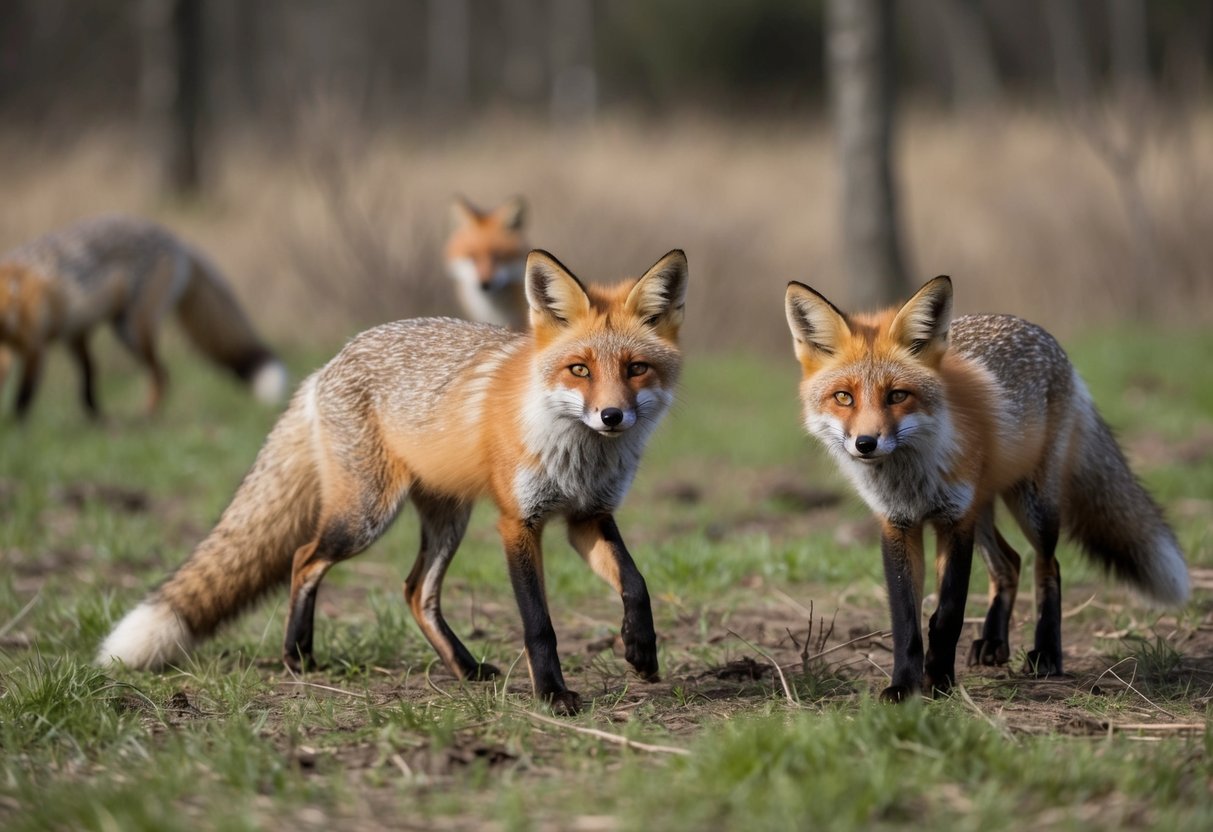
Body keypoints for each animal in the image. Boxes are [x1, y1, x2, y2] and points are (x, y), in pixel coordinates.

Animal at [0, 215, 287, 418]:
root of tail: (176, 239)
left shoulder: (36, 348)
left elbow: (24, 395)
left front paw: (15, 424)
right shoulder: (53, 339)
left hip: (131, 331)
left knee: (162, 375)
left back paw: (145, 416)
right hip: (96, 332)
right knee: (96, 372)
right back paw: (101, 415)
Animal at [97, 248, 688, 714]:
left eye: (636, 369)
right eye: (580, 370)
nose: (611, 416)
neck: (578, 456)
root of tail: (327, 365)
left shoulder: (588, 515)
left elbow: (636, 582)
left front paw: (642, 651)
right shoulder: (517, 522)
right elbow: (538, 623)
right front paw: (552, 695)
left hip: (447, 519)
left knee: (415, 591)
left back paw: (464, 668)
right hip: (366, 517)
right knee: (304, 558)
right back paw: (297, 654)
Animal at [784, 275, 1189, 702]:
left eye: (897, 395)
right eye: (844, 397)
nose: (865, 443)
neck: (911, 478)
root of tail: (1033, 329)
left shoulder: (954, 520)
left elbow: (947, 614)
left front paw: (939, 682)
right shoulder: (897, 524)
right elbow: (906, 621)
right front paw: (904, 686)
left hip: (1033, 506)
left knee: (1048, 565)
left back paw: (1046, 654)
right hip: (983, 510)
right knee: (1009, 563)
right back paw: (994, 642)